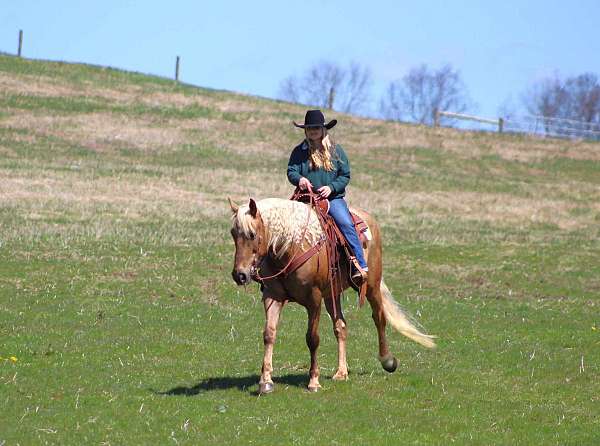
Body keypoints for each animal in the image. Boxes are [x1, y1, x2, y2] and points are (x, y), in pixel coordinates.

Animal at [230, 197, 436, 392]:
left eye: (252, 234)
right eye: (233, 234)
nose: (239, 275)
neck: (290, 248)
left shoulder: (314, 299)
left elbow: (312, 339)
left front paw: (314, 381)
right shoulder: (273, 297)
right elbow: (269, 334)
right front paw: (265, 381)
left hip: (371, 286)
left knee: (379, 318)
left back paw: (387, 360)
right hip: (332, 294)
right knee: (341, 327)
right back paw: (341, 372)